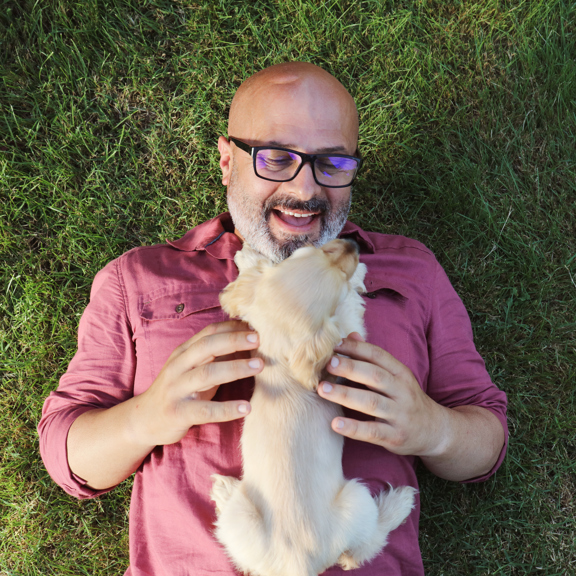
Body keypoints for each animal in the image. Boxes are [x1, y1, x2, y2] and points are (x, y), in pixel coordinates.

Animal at [209, 238, 416, 576]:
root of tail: (299, 562)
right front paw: (360, 273)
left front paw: (248, 258)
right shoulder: (343, 331)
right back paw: (399, 503)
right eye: (337, 284)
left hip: (241, 520)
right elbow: (350, 308)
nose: (353, 243)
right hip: (357, 500)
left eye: (308, 251)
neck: (280, 362)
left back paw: (224, 493)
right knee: (364, 547)